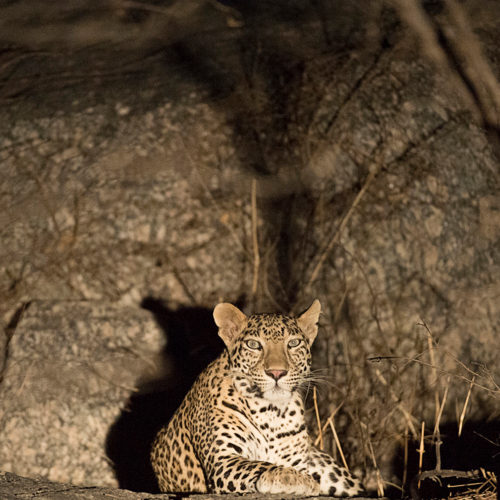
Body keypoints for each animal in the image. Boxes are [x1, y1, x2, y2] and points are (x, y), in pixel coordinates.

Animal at [149, 298, 364, 498]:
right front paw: (289, 477)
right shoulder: (222, 460)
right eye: (253, 345)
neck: (271, 412)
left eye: (293, 343)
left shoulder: (298, 459)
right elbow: (257, 464)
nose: (277, 372)